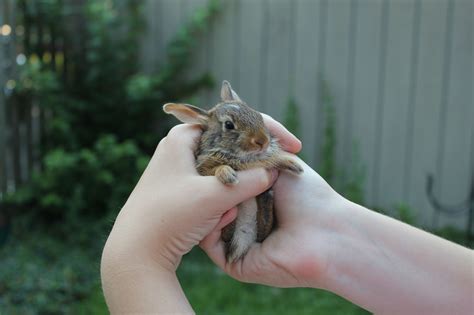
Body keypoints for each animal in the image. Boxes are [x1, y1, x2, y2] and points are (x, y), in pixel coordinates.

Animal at [165, 81, 302, 262]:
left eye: (258, 115)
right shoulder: (203, 168)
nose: (263, 141)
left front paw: (290, 163)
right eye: (229, 125)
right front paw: (227, 174)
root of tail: (244, 237)